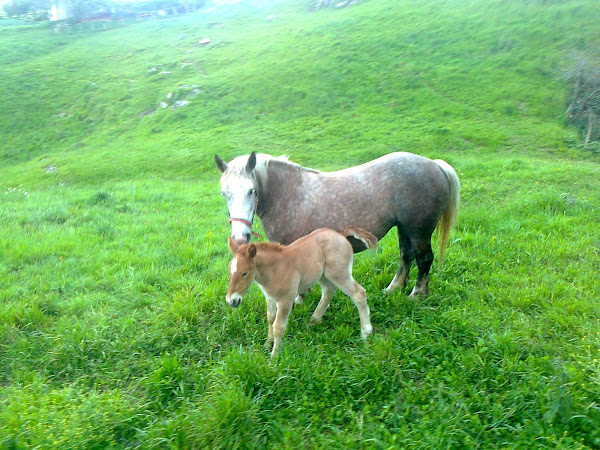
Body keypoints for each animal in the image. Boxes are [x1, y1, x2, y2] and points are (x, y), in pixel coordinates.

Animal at [216, 152, 460, 298]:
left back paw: (417, 294)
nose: (240, 237)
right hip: (404, 229)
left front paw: (299, 299)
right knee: (406, 257)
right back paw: (393, 288)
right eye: (224, 193)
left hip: (419, 231)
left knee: (424, 259)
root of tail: (435, 164)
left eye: (252, 190)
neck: (288, 194)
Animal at [227, 227, 378, 356]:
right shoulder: (269, 297)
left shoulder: (286, 299)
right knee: (328, 291)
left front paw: (273, 358)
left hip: (339, 273)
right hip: (323, 275)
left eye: (244, 273)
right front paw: (267, 344)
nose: (231, 301)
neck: (275, 269)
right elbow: (270, 318)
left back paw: (366, 332)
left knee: (359, 293)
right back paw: (313, 322)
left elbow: (278, 327)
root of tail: (341, 234)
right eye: (229, 270)